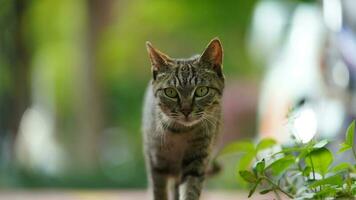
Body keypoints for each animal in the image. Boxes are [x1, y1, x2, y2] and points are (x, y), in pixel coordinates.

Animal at [143, 38, 224, 200]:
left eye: (201, 90)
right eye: (170, 92)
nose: (186, 110)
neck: (179, 132)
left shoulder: (197, 161)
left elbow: (190, 189)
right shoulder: (156, 163)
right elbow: (159, 192)